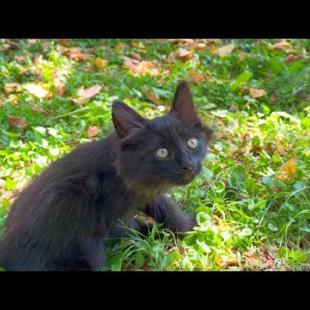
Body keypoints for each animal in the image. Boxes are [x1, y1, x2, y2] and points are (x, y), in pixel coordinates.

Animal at [0, 81, 213, 270]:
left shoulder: (145, 190)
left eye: (192, 143)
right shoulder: (112, 211)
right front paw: (159, 235)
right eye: (162, 153)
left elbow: (165, 206)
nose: (189, 165)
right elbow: (131, 231)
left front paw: (188, 226)